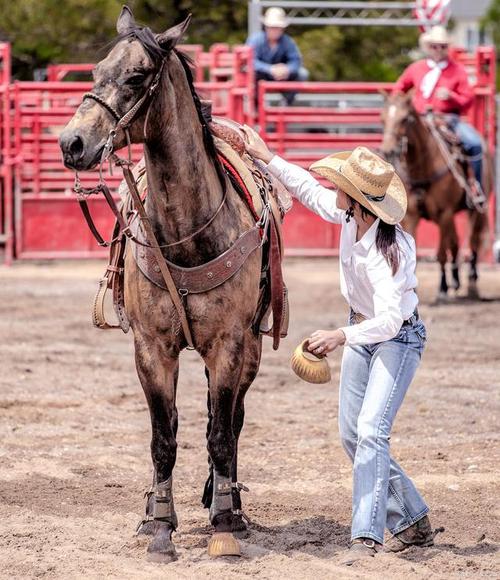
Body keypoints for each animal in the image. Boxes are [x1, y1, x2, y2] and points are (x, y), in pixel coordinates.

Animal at [59, 7, 274, 560]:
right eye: (96, 71)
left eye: (137, 77)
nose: (71, 143)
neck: (185, 231)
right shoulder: (152, 348)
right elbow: (164, 437)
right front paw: (158, 524)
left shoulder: (229, 344)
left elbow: (220, 433)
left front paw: (225, 524)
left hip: (251, 352)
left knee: (232, 423)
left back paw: (229, 503)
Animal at [378, 92, 492, 300]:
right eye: (382, 119)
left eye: (405, 119)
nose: (388, 150)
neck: (422, 166)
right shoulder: (412, 216)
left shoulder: (444, 213)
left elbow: (441, 253)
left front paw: (442, 290)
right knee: (455, 242)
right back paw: (456, 281)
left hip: (476, 209)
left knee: (473, 241)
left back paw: (472, 285)